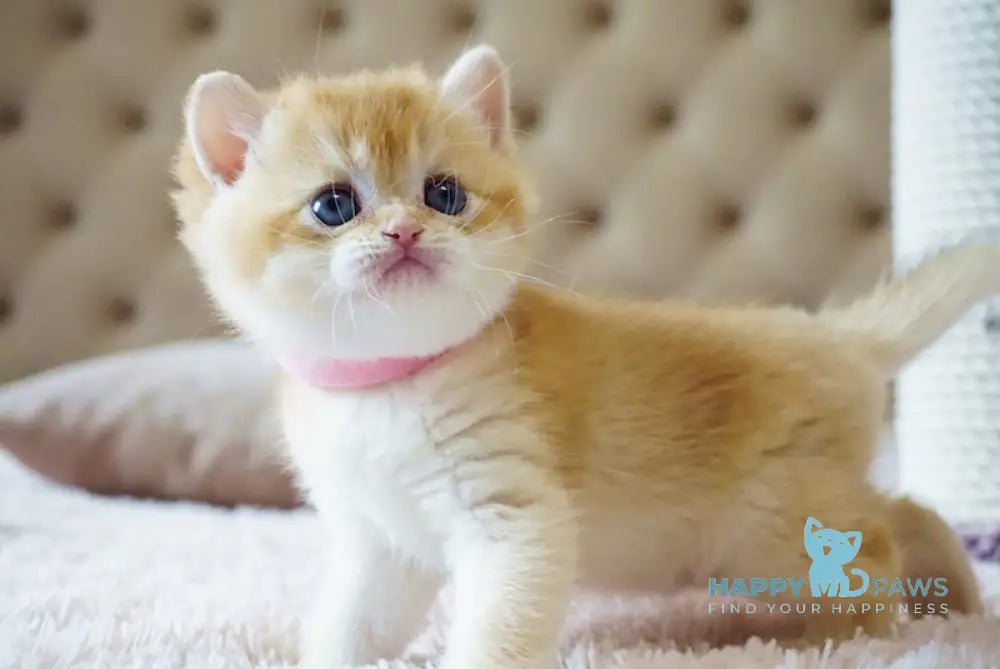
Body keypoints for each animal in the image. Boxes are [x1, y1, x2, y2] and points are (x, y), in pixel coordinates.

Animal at [176, 47, 988, 668]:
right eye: (334, 205)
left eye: (445, 194)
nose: (406, 230)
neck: (392, 387)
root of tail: (833, 335)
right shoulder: (380, 544)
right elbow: (351, 624)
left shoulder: (515, 522)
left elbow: (494, 637)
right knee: (908, 510)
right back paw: (955, 599)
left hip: (773, 529)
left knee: (876, 545)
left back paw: (847, 638)